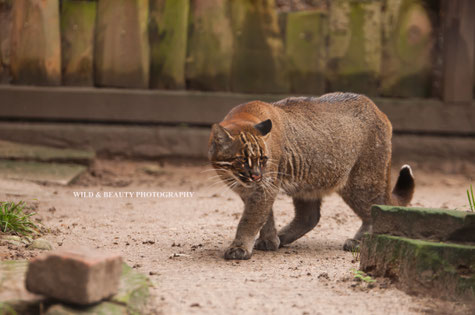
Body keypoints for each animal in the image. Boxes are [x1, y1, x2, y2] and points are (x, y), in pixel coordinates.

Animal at [210, 92, 414, 260]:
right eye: (242, 160)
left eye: (263, 159)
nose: (256, 176)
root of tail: (377, 108)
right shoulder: (254, 191)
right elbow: (264, 216)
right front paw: (269, 240)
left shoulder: (263, 188)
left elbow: (250, 219)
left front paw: (240, 248)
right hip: (308, 183)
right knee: (310, 217)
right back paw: (282, 237)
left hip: (360, 182)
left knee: (375, 208)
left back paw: (357, 242)